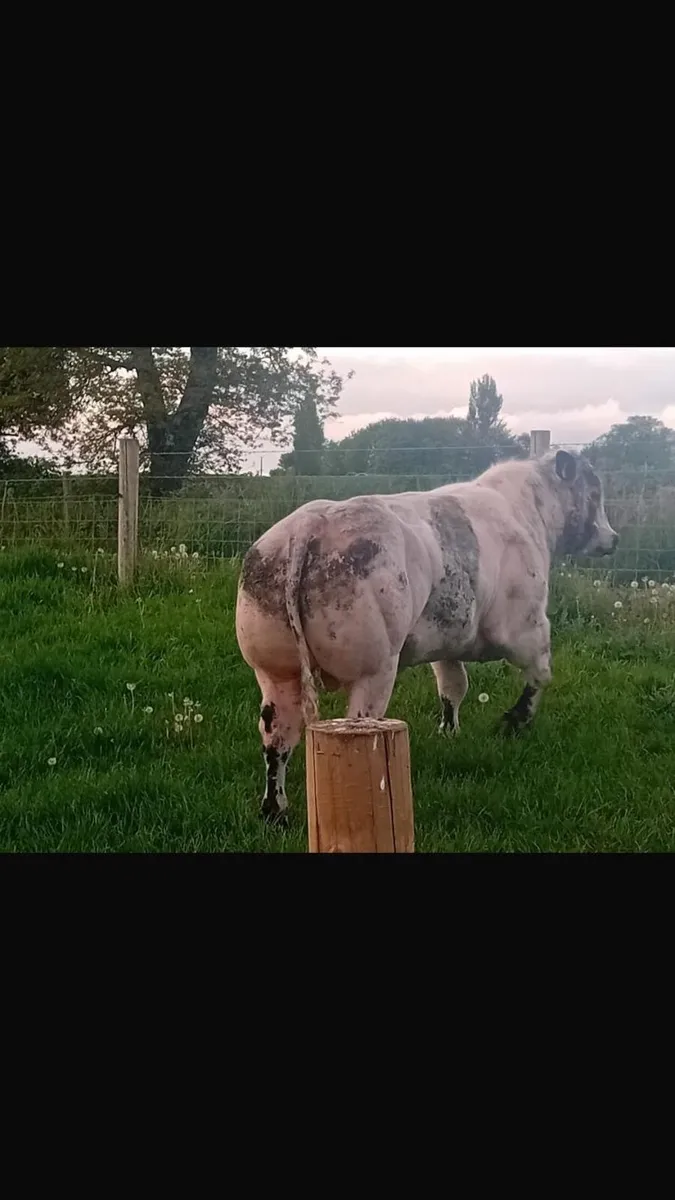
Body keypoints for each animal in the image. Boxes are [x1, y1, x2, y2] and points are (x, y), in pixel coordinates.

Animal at [235, 450, 618, 823]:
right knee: (357, 728)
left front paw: (449, 731)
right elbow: (540, 674)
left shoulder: (448, 640)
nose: (613, 538)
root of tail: (313, 520)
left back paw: (275, 811)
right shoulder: (526, 624)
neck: (526, 512)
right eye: (594, 493)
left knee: (276, 737)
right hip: (374, 669)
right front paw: (514, 722)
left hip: (274, 671)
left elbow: (453, 686)